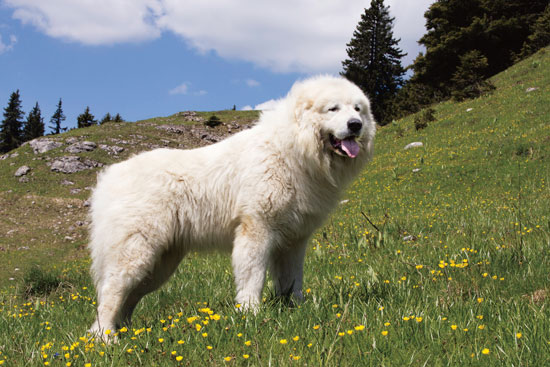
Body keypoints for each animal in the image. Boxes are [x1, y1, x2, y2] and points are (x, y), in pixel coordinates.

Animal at [88, 76, 378, 334]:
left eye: (357, 109)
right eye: (333, 108)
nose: (355, 125)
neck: (292, 152)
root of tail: (109, 178)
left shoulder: (294, 241)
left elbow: (293, 280)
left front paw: (297, 310)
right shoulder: (257, 229)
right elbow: (253, 277)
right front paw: (250, 314)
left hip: (159, 266)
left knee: (127, 299)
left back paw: (126, 332)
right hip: (137, 253)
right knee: (110, 293)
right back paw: (106, 338)